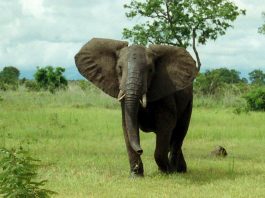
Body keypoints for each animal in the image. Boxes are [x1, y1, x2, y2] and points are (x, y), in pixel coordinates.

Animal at [73, 38, 196, 177]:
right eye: (119, 68)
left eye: (150, 70)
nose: (140, 150)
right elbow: (127, 124)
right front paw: (136, 175)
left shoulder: (166, 93)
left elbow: (166, 124)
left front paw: (166, 172)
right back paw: (179, 169)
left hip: (189, 101)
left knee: (179, 133)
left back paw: (176, 171)